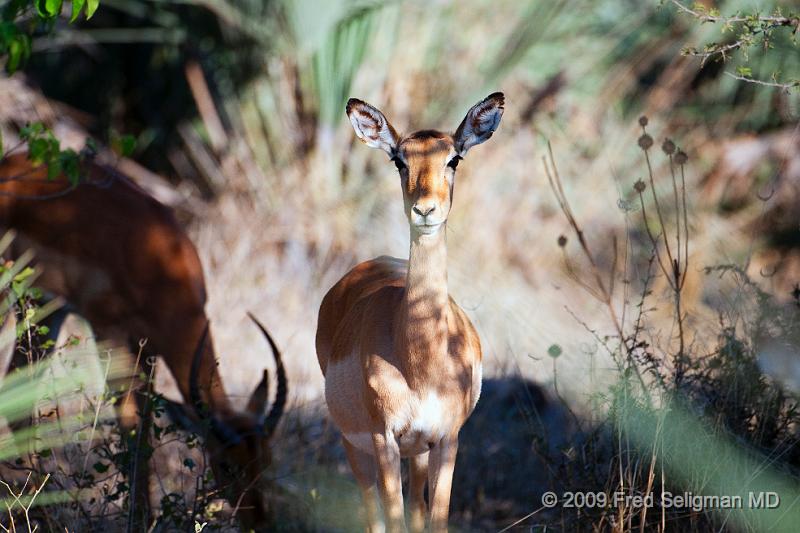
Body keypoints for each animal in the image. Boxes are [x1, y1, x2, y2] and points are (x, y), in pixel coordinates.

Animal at [0, 152, 288, 528]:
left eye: (265, 461)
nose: (258, 522)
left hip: (47, 308)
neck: (157, 261)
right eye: (226, 465)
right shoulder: (108, 331)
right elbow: (132, 425)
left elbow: (148, 425)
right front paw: (137, 522)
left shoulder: (149, 345)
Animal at [316, 93, 504, 528]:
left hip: (417, 451)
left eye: (454, 159)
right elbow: (392, 520)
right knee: (373, 513)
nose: (425, 210)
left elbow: (436, 520)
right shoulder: (384, 438)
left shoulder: (446, 440)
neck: (422, 363)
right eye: (399, 160)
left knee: (416, 507)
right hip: (356, 445)